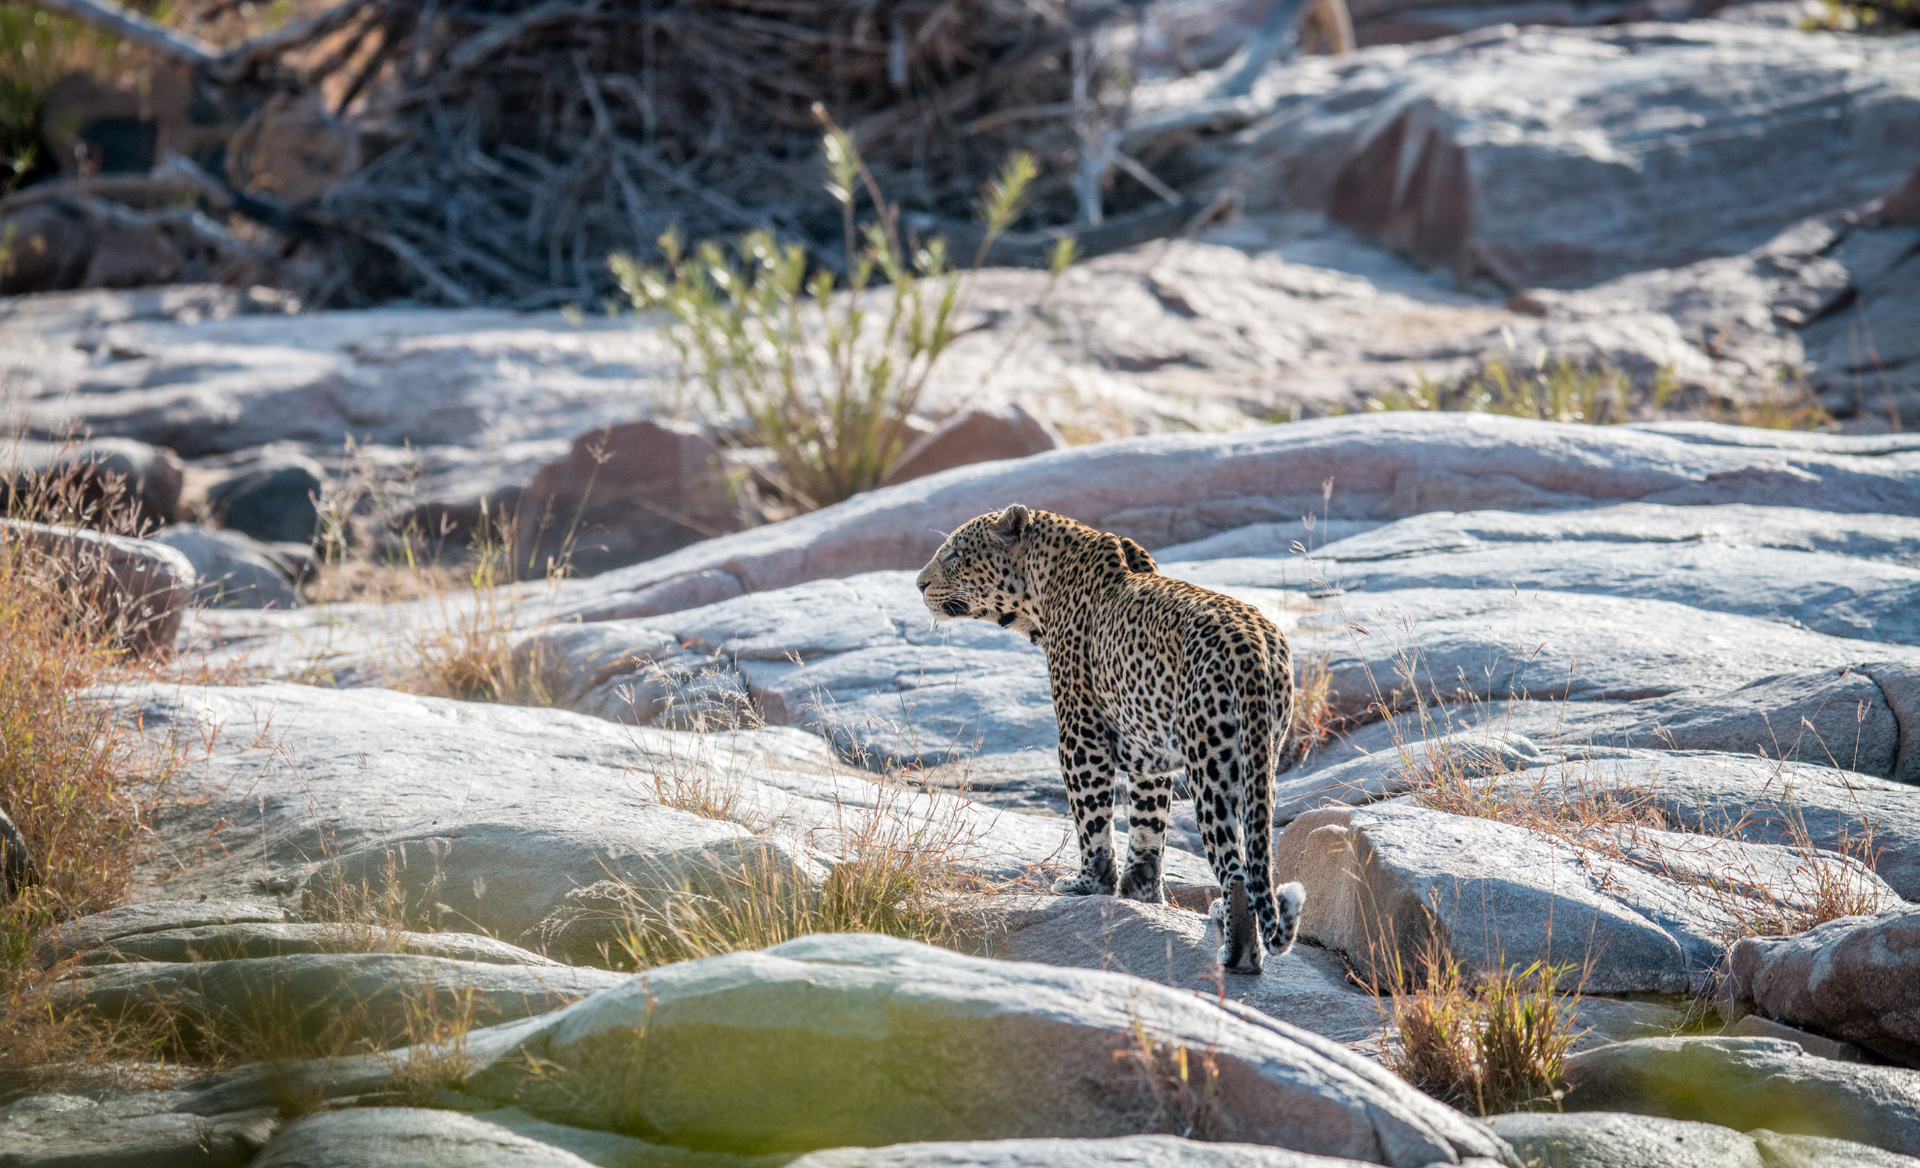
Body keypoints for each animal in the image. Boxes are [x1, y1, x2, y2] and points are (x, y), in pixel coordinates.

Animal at [913, 503, 1305, 975]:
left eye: (954, 553)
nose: (918, 584)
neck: (1044, 588)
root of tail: (1254, 646)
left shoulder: (1080, 735)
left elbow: (1092, 818)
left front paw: (1088, 884)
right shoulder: (1149, 748)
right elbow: (1147, 824)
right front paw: (1141, 892)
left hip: (1211, 765)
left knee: (1235, 869)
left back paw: (1236, 954)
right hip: (1262, 760)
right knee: (1253, 854)